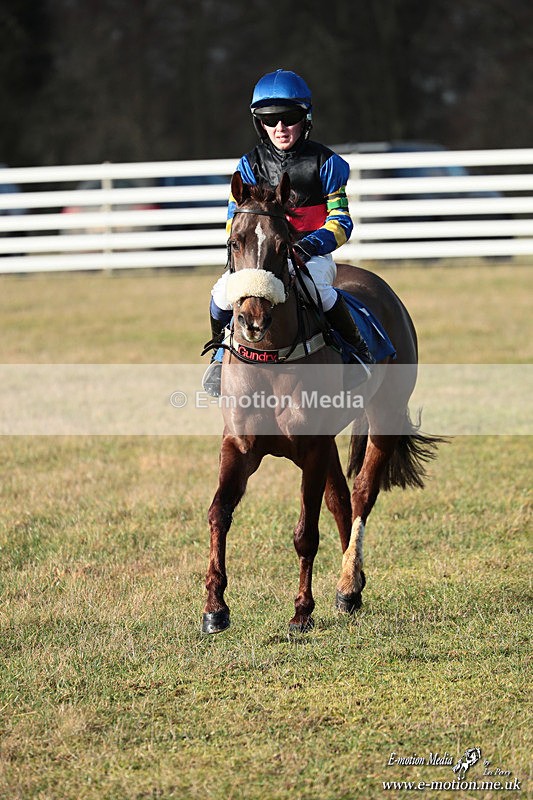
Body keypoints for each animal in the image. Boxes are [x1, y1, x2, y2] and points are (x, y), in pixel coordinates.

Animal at [202, 170, 441, 635]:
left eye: (283, 245)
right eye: (235, 240)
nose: (252, 320)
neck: (272, 358)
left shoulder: (311, 448)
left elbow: (305, 533)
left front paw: (301, 611)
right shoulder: (239, 446)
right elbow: (219, 512)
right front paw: (214, 607)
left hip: (384, 415)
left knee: (363, 493)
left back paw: (347, 584)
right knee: (341, 500)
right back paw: (355, 584)